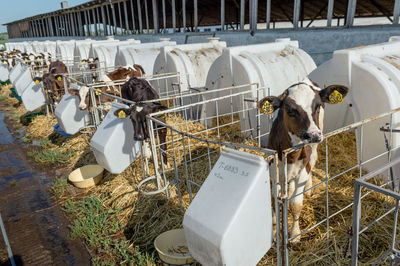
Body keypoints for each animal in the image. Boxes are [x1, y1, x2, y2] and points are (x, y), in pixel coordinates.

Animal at [258, 77, 348, 243]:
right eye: (290, 110)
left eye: (318, 105)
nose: (313, 135)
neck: (290, 155)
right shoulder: (274, 168)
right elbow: (273, 199)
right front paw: (274, 230)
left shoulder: (303, 169)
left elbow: (296, 204)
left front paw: (294, 234)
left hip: (314, 147)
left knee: (312, 161)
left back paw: (308, 188)